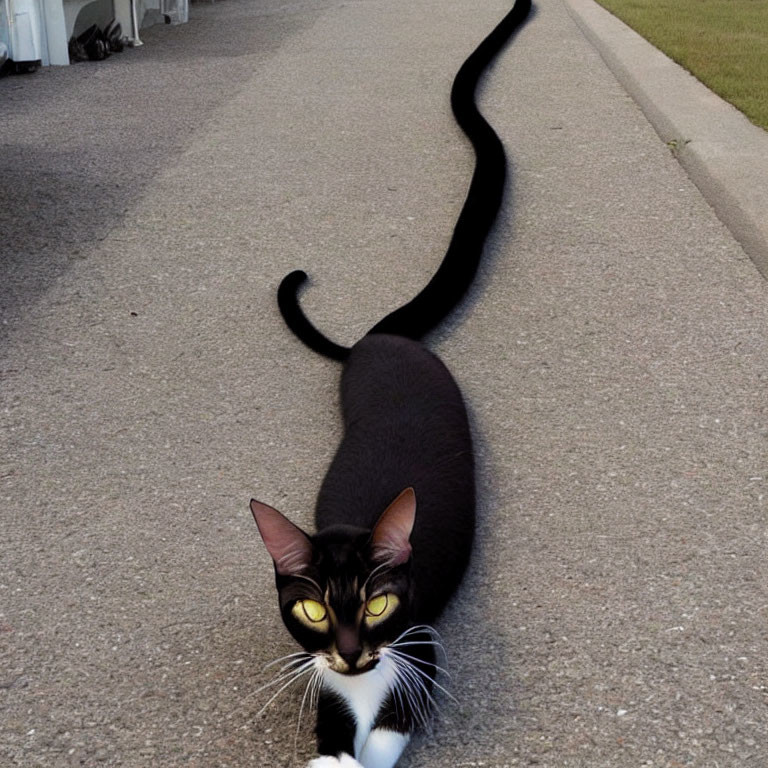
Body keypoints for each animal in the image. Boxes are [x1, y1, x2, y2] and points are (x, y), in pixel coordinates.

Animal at [249, 3, 532, 764]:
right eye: (312, 610)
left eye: (377, 604)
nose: (350, 653)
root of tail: (382, 338)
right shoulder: (320, 672)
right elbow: (331, 730)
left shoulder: (422, 645)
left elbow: (389, 727)